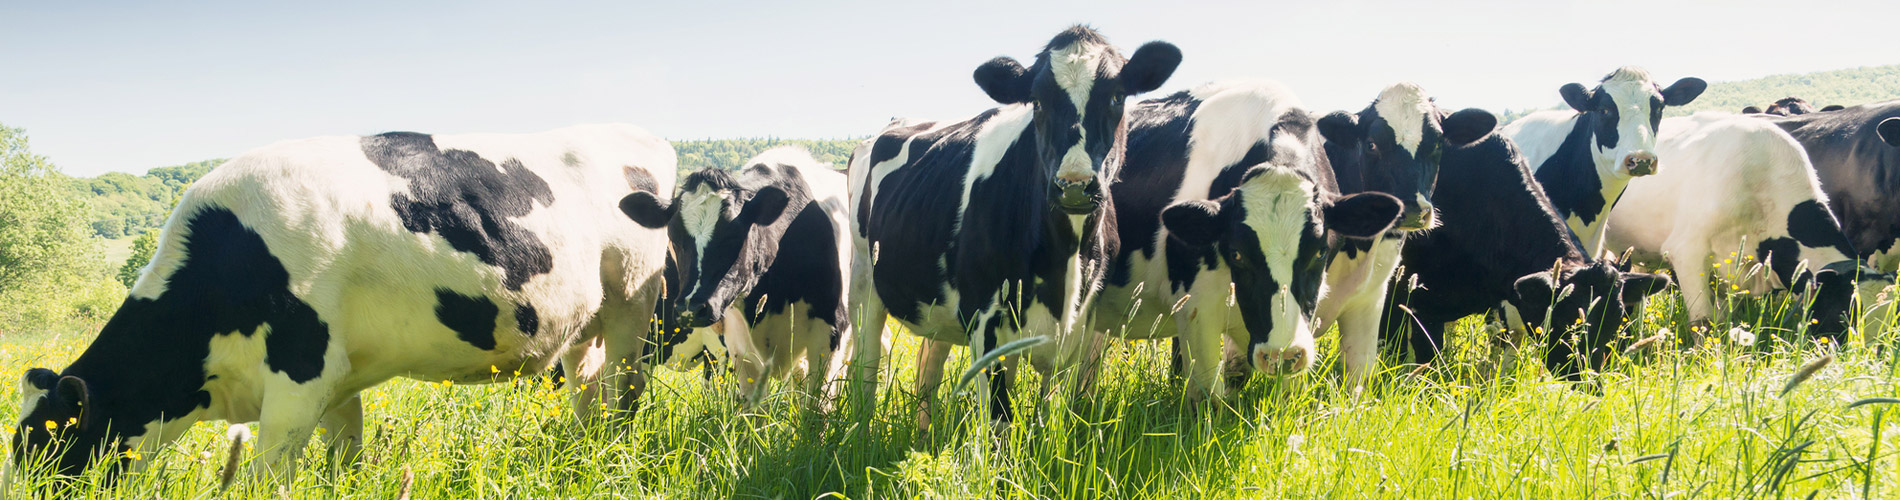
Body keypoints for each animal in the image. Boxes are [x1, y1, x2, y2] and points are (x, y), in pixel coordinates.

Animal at [8, 124, 674, 484]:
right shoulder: (338, 377)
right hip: (582, 322)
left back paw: (615, 453)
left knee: (624, 389)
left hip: (630, 304)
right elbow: (342, 463)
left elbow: (267, 479)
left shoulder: (299, 376)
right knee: (587, 389)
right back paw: (581, 453)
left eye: (43, 445)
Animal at [619, 146, 853, 409]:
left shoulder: (831, 334)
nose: (691, 309)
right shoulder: (738, 345)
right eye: (674, 238)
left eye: (733, 236)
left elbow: (816, 408)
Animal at [844, 26, 1180, 430]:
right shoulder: (984, 319)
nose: (1074, 184)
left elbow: (1052, 415)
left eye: (1117, 96)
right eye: (1036, 101)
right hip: (863, 282)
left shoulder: (1082, 324)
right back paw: (861, 429)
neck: (1063, 264)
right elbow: (999, 421)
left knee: (929, 364)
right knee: (866, 363)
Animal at [1093, 79, 1406, 400]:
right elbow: (1209, 397)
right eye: (1237, 254)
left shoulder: (1364, 303)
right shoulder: (1197, 308)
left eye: (1320, 252)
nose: (1281, 354)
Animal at [1608, 113, 1891, 340]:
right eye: (1845, 316)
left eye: (1888, 324)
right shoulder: (1688, 253)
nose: (1862, 360)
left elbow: (1722, 322)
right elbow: (1703, 323)